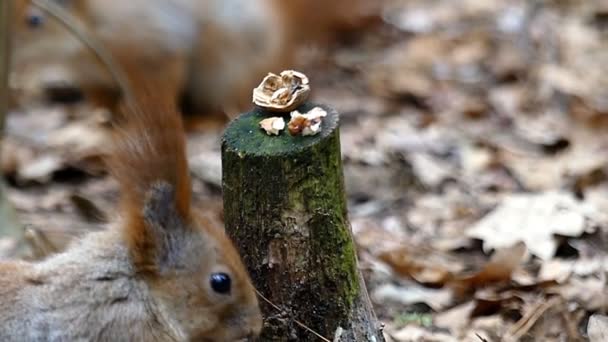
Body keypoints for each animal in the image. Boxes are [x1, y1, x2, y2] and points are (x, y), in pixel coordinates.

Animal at [11, 0, 378, 115]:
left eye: (35, 20)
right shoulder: (88, 78)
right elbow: (100, 102)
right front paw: (105, 120)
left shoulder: (153, 46)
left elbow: (159, 90)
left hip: (227, 63)